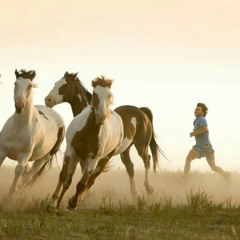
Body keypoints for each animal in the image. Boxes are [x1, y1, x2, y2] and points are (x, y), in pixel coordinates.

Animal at [44, 71, 165, 202]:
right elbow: (76, 177)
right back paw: (134, 194)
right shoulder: (80, 155)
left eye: (65, 85)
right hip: (125, 151)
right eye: (56, 83)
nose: (48, 100)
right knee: (130, 167)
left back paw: (148, 188)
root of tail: (141, 111)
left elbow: (86, 179)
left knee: (147, 160)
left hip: (141, 146)